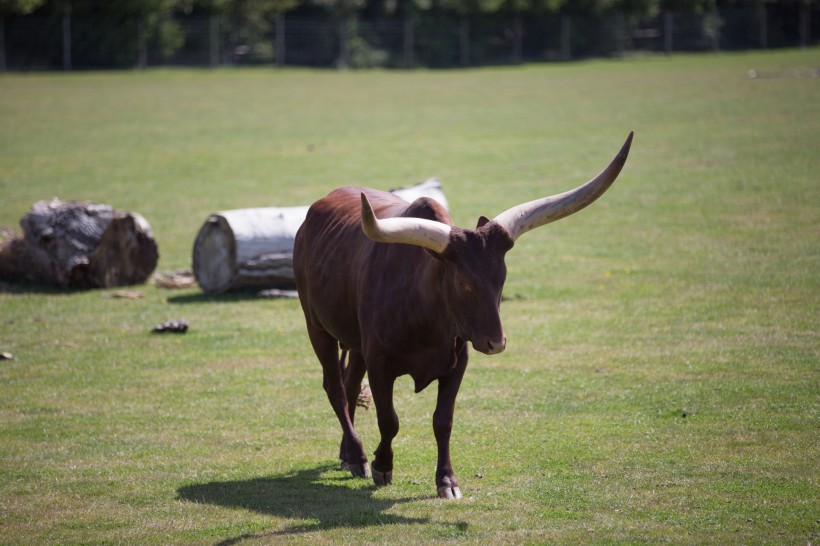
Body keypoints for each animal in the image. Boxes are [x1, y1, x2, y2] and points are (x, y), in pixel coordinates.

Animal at [294, 132, 636, 498]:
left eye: (502, 277)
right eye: (463, 282)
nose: (496, 343)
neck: (425, 315)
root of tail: (315, 210)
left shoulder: (457, 361)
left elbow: (443, 421)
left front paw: (447, 481)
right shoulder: (381, 363)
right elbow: (389, 420)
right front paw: (382, 466)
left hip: (356, 342)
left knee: (348, 384)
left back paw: (348, 454)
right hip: (317, 327)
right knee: (335, 388)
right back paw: (357, 456)